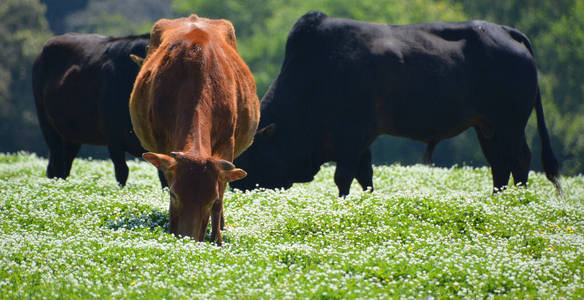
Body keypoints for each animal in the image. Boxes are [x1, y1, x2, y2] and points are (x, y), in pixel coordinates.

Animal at [32, 34, 157, 186]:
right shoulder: (113, 137)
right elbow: (122, 172)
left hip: (71, 136)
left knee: (64, 166)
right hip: (47, 125)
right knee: (56, 165)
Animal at [131, 14, 262, 245]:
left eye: (210, 200)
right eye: (174, 195)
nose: (187, 237)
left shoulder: (227, 143)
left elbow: (221, 193)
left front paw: (217, 238)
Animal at [234, 10, 560, 196]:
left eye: (251, 154)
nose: (237, 185)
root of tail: (507, 33)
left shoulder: (351, 139)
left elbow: (344, 178)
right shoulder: (361, 142)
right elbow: (365, 178)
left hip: (510, 126)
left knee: (520, 160)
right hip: (487, 128)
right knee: (499, 166)